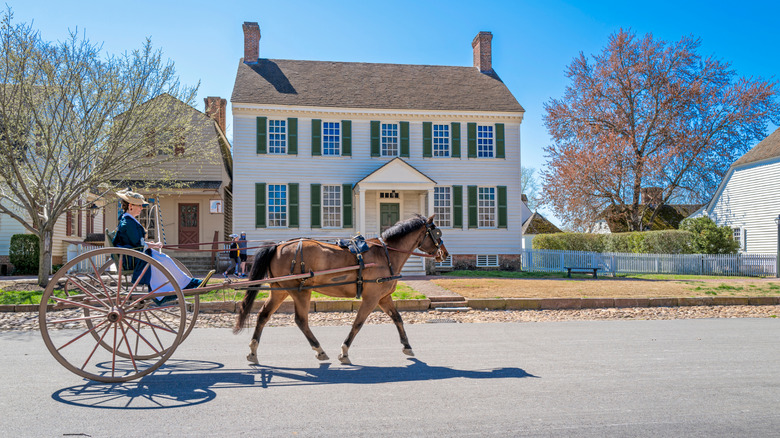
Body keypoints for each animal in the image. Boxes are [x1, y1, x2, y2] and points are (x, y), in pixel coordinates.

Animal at [232, 214, 448, 364]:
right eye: (437, 233)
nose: (444, 253)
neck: (386, 254)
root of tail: (278, 246)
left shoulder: (383, 297)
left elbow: (398, 319)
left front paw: (407, 346)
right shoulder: (372, 298)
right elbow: (358, 324)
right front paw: (344, 351)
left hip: (281, 290)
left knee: (263, 315)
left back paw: (253, 351)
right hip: (301, 291)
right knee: (301, 320)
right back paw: (319, 349)